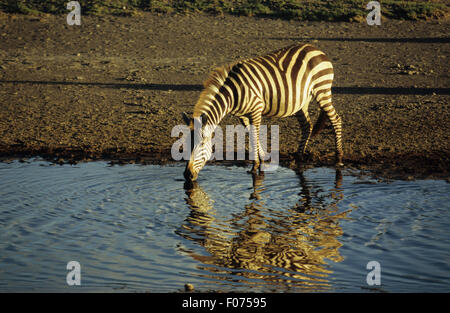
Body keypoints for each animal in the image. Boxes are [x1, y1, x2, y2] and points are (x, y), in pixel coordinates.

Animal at [181, 43, 342, 180]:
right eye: (186, 143)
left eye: (201, 145)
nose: (187, 175)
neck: (232, 94)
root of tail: (315, 48)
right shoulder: (242, 116)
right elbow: (252, 135)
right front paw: (263, 159)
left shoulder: (256, 110)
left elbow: (254, 136)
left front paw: (255, 166)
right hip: (301, 101)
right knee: (307, 126)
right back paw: (299, 157)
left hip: (322, 90)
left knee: (336, 120)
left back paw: (339, 158)